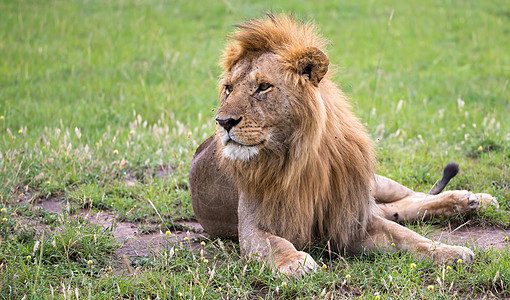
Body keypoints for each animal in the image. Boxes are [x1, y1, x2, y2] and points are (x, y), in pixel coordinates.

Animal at [188, 14, 498, 276]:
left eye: (263, 86)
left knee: (413, 196)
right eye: (228, 88)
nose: (223, 122)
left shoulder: (350, 218)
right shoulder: (251, 225)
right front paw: (295, 262)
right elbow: (274, 243)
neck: (298, 156)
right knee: (401, 207)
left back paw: (473, 199)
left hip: (373, 183)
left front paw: (451, 252)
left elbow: (409, 237)